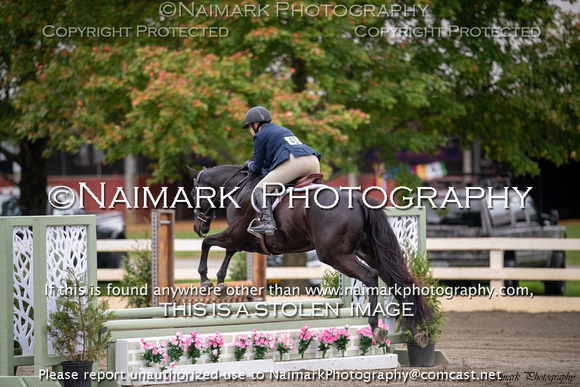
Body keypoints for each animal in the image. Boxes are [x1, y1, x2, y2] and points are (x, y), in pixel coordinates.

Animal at [187, 165, 430, 348]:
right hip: (371, 253)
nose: (198, 227)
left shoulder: (235, 235)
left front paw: (206, 280)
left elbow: (207, 244)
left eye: (193, 195)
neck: (238, 188)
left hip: (335, 255)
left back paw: (375, 327)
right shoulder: (241, 239)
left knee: (371, 276)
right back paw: (414, 330)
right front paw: (220, 283)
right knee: (398, 281)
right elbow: (226, 251)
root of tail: (358, 198)